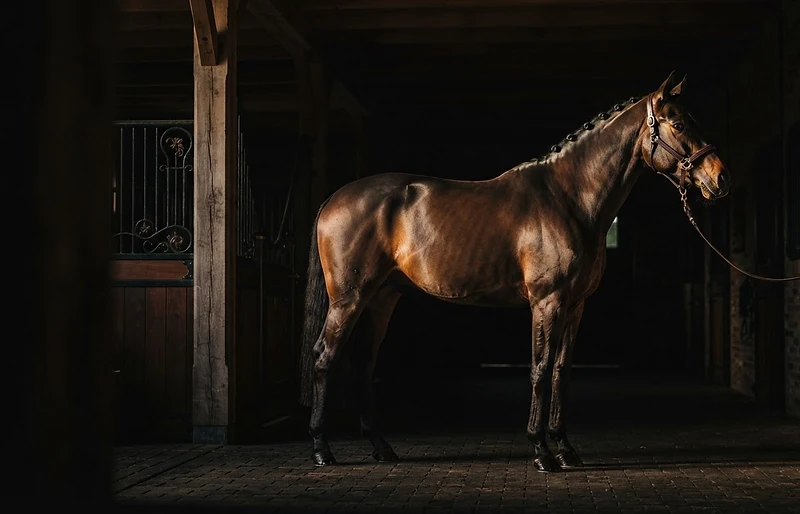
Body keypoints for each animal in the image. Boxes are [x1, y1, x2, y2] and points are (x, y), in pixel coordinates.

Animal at [298, 71, 730, 472]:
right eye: (679, 124)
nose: (719, 177)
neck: (569, 198)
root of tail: (333, 199)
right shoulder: (547, 301)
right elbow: (539, 370)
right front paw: (542, 452)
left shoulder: (575, 306)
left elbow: (561, 372)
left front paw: (565, 449)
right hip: (349, 298)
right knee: (324, 356)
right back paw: (321, 449)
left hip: (382, 298)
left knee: (363, 362)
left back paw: (381, 446)